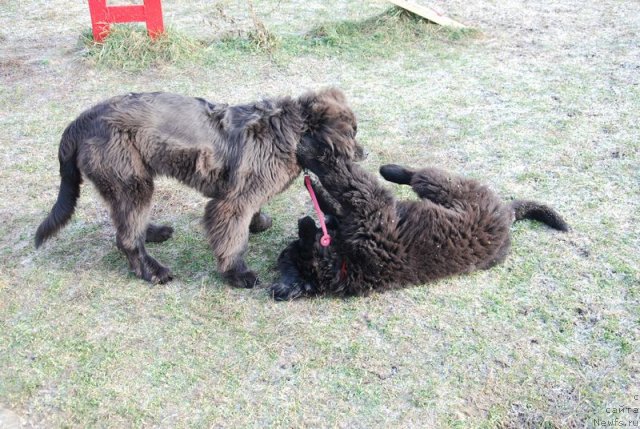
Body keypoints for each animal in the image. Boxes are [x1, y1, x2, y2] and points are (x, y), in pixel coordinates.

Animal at [35, 88, 364, 286]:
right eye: (352, 133)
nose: (365, 153)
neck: (291, 134)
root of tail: (81, 121)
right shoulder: (232, 202)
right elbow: (233, 238)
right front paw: (237, 273)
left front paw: (258, 223)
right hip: (131, 182)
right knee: (127, 238)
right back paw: (153, 271)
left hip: (125, 183)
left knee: (126, 224)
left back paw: (152, 232)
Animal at [268, 159, 568, 300]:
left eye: (288, 253)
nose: (303, 227)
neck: (344, 261)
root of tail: (506, 214)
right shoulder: (370, 206)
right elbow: (347, 183)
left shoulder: (365, 208)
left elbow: (337, 195)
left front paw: (315, 185)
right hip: (451, 190)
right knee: (421, 176)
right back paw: (391, 170)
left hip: (445, 189)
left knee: (417, 175)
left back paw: (389, 169)